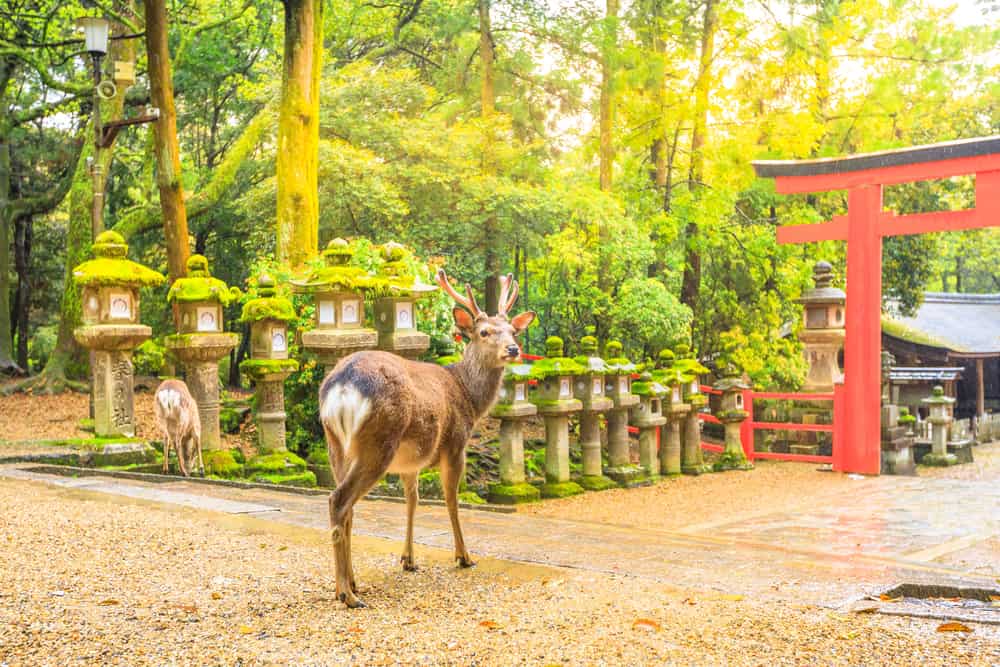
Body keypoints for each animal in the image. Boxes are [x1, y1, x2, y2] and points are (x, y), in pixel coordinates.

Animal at [319, 269, 535, 608]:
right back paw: (346, 593)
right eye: (484, 332)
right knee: (338, 500)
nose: (513, 349)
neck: (468, 396)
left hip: (336, 443)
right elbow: (451, 500)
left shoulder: (410, 463)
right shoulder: (456, 443)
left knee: (347, 507)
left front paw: (408, 559)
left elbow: (413, 501)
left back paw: (352, 583)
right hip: (378, 442)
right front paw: (464, 556)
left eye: (513, 330)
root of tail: (342, 386)